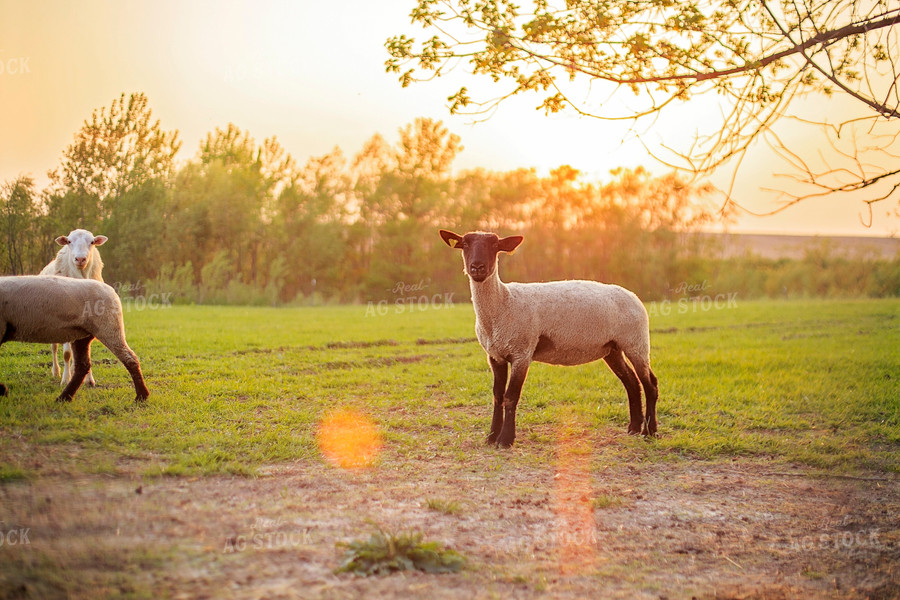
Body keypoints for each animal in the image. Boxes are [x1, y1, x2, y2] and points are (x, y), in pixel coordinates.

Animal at [0, 276, 149, 404]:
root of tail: (112, 291)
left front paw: (3, 390)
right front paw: (3, 390)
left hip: (108, 326)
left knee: (129, 358)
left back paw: (141, 396)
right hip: (82, 335)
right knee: (83, 366)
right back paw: (64, 398)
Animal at [38, 227, 108, 386]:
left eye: (92, 242)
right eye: (69, 241)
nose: (80, 259)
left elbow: (86, 353)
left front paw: (89, 380)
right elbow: (66, 353)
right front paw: (65, 379)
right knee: (54, 347)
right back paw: (56, 372)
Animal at [440, 229, 656, 446]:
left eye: (495, 245)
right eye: (465, 244)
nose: (477, 267)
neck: (504, 303)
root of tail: (634, 297)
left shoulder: (522, 353)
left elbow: (511, 397)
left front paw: (506, 439)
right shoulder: (495, 356)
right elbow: (497, 396)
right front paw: (492, 437)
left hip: (636, 342)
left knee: (650, 384)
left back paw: (650, 432)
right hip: (612, 348)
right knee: (631, 383)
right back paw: (634, 428)